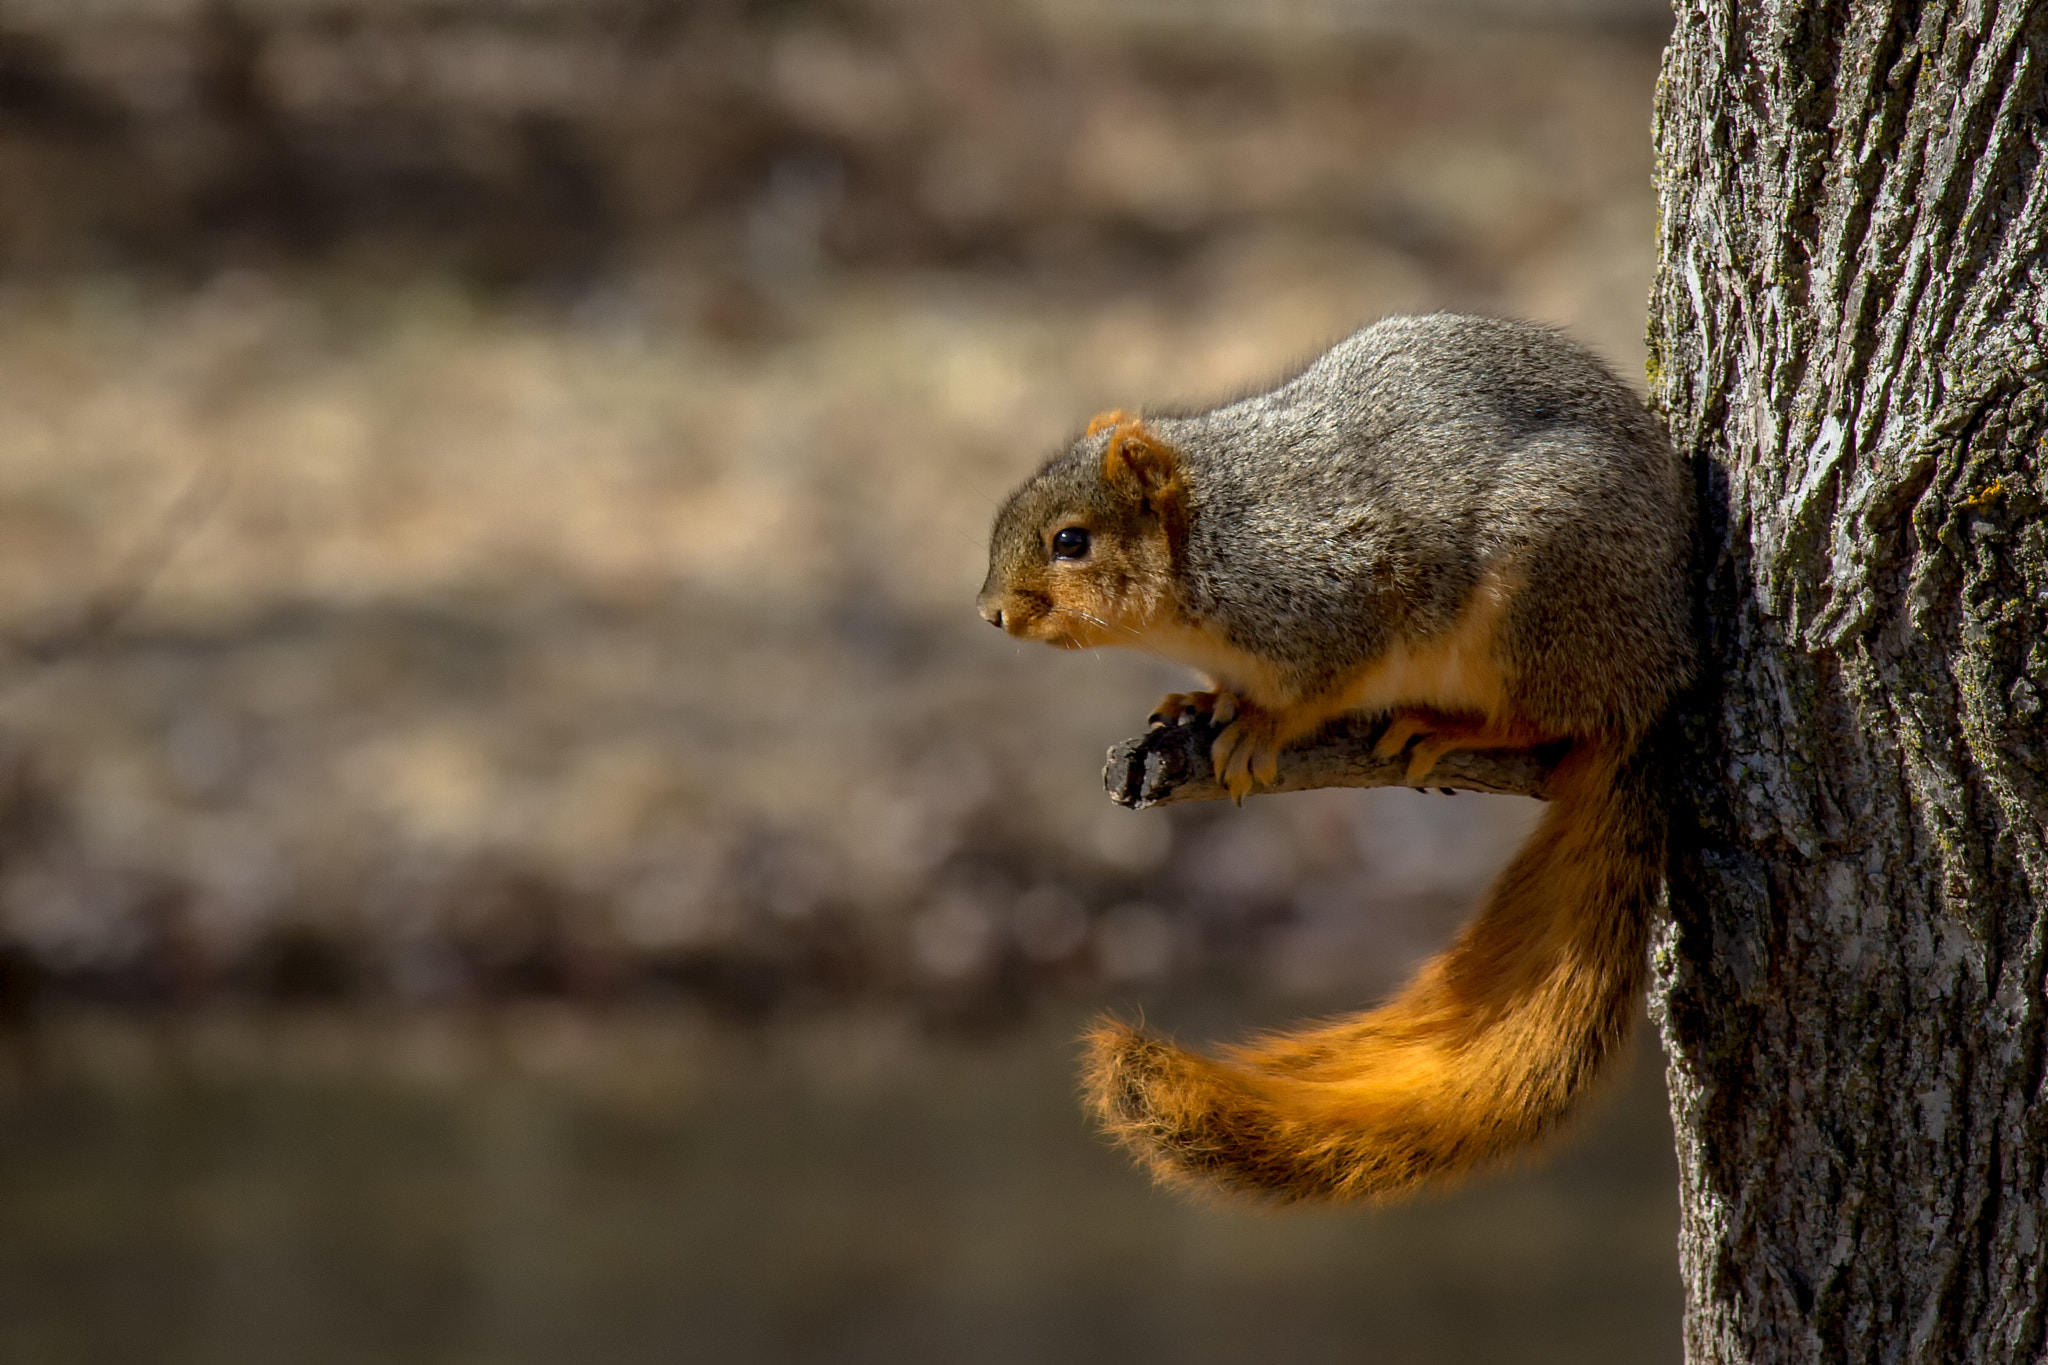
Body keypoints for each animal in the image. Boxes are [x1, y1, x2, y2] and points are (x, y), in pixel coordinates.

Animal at [976, 313, 1694, 1204]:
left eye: (1071, 541)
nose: (989, 613)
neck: (1213, 537)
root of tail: (1656, 673)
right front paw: (1200, 702)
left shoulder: (1339, 582)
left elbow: (1322, 681)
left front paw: (1261, 727)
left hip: (1541, 599)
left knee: (1554, 721)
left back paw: (1463, 729)